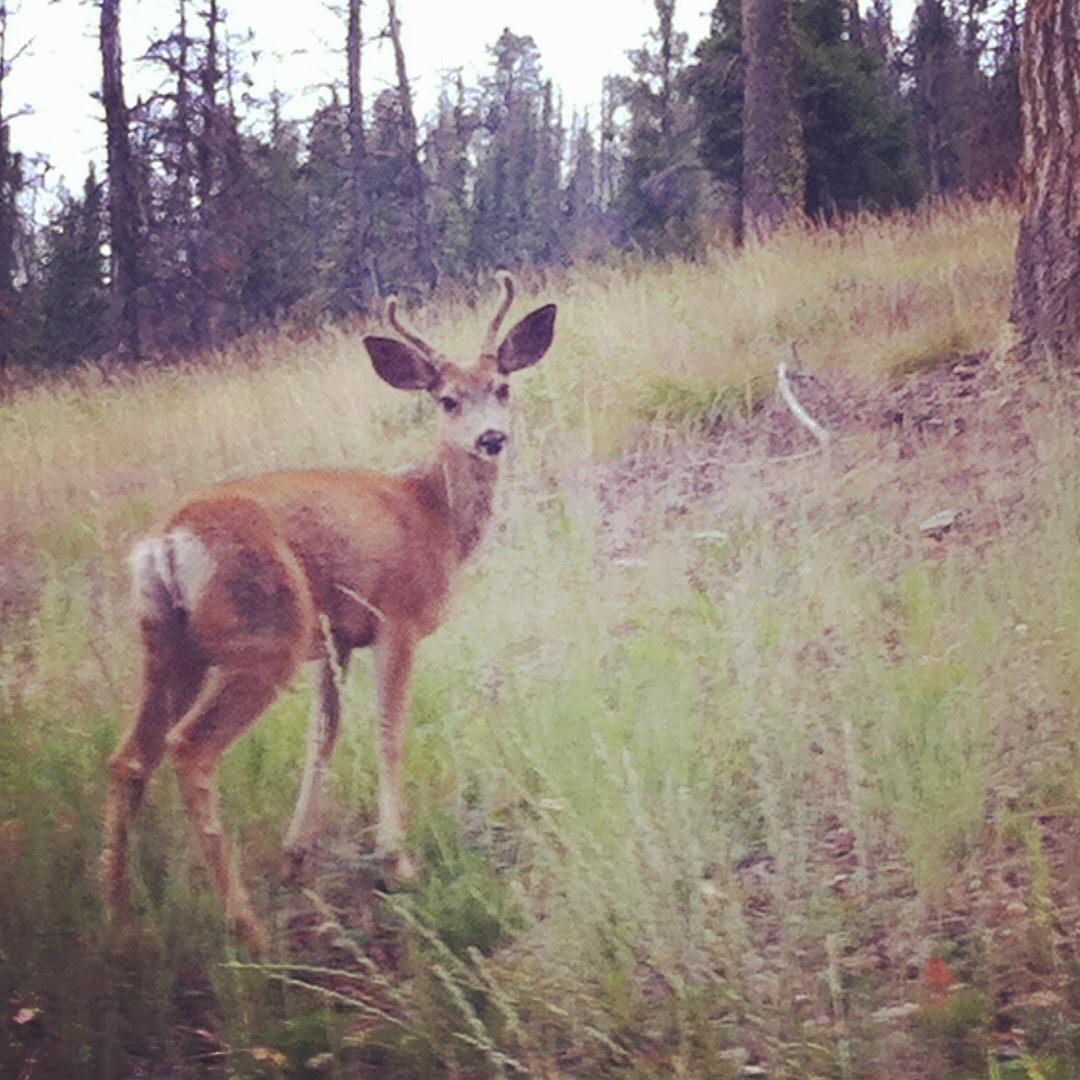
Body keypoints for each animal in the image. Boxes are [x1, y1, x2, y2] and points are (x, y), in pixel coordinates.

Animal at [101, 275, 556, 951]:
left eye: (502, 387)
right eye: (447, 399)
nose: (491, 439)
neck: (435, 517)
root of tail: (167, 542)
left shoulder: (335, 637)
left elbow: (325, 733)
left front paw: (297, 856)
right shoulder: (396, 618)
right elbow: (388, 731)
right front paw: (397, 861)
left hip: (168, 642)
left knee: (130, 757)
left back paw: (119, 919)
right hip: (263, 636)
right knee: (189, 749)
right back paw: (247, 928)